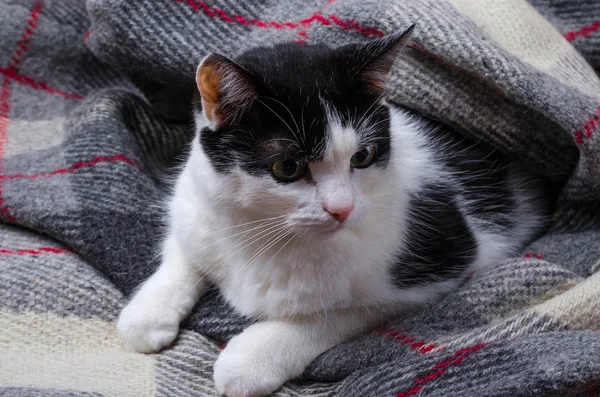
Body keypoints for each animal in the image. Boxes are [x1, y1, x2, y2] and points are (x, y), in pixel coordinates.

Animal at [117, 25, 552, 396]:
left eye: (363, 156)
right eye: (288, 167)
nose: (343, 208)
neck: (261, 228)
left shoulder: (442, 261)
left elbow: (339, 315)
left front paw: (253, 358)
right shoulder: (195, 200)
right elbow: (184, 250)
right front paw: (146, 313)